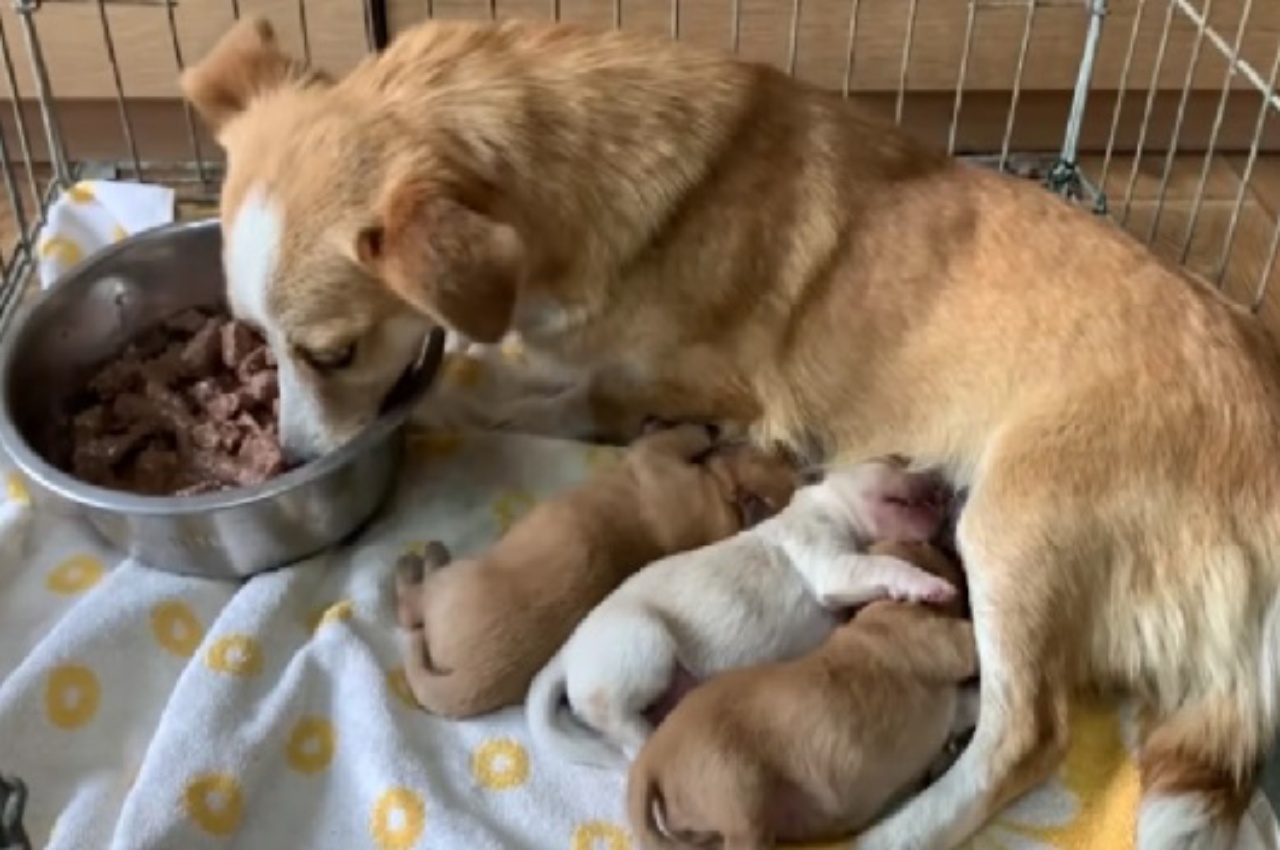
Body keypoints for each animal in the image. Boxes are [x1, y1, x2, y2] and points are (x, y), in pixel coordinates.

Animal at [389, 422, 798, 716]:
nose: (786, 445)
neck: (723, 501)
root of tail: (474, 680)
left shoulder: (660, 456)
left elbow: (681, 435)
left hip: (449, 583)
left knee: (410, 610)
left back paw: (419, 562)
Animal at [524, 458, 957, 768]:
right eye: (896, 459)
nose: (944, 480)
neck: (824, 505)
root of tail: (566, 654)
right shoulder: (832, 564)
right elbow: (884, 565)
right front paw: (928, 585)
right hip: (642, 644)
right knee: (621, 727)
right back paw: (647, 738)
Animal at [629, 540, 977, 844]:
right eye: (927, 544)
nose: (950, 546)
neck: (880, 608)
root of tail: (650, 758)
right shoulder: (942, 640)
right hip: (738, 798)